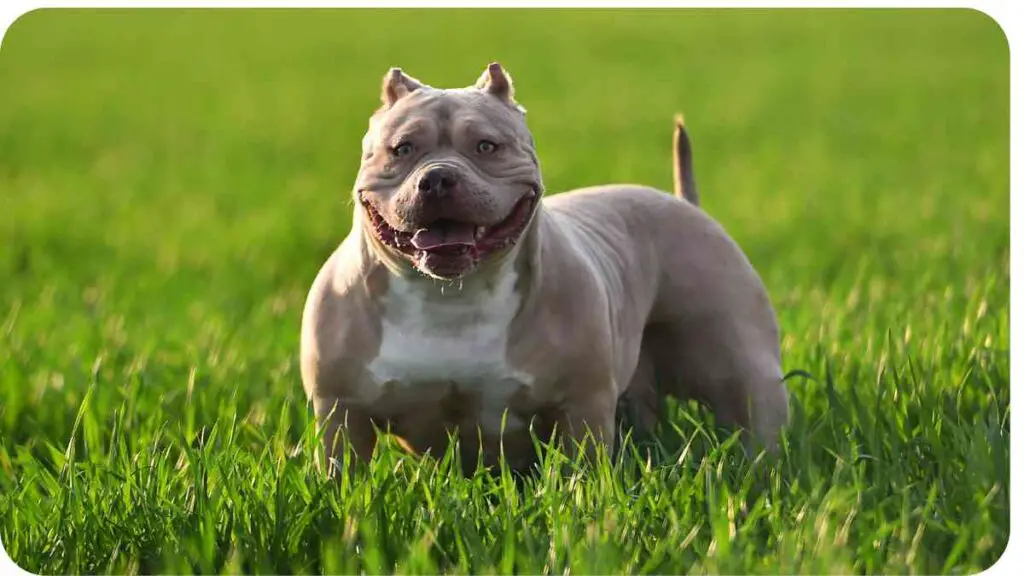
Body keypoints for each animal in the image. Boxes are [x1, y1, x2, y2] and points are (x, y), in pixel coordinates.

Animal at [299, 62, 786, 473]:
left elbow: (582, 474)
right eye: (401, 149)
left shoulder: (581, 407)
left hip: (739, 364)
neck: (451, 297)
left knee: (754, 415)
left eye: (487, 146)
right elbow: (344, 477)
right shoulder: (341, 412)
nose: (436, 178)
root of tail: (686, 204)